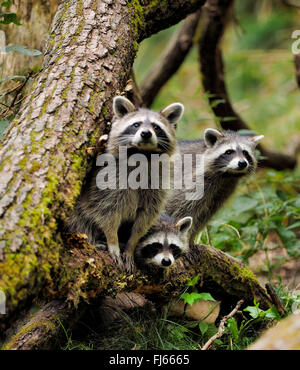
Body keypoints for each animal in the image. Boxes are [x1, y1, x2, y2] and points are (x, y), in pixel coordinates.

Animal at [68, 96, 184, 272]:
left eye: (156, 127)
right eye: (136, 124)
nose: (145, 133)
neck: (142, 154)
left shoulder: (157, 183)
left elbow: (145, 217)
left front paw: (131, 245)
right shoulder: (108, 179)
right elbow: (107, 212)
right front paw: (112, 241)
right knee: (79, 220)